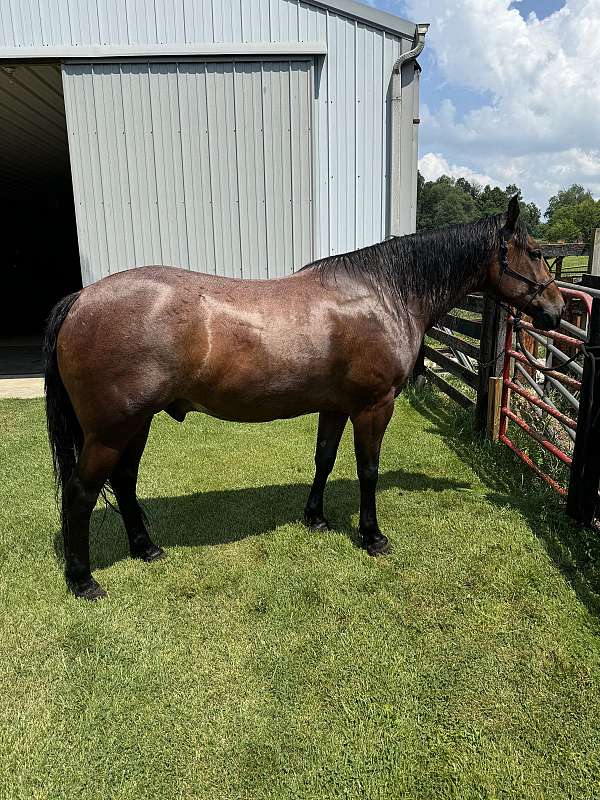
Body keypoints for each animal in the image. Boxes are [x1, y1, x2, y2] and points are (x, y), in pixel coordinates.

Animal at [44, 198, 564, 600]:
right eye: (537, 252)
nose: (557, 311)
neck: (384, 292)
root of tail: (81, 299)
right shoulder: (374, 406)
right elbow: (367, 469)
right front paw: (372, 536)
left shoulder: (335, 406)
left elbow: (324, 458)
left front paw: (315, 518)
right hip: (110, 431)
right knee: (81, 492)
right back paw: (83, 580)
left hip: (136, 424)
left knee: (124, 482)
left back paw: (145, 548)